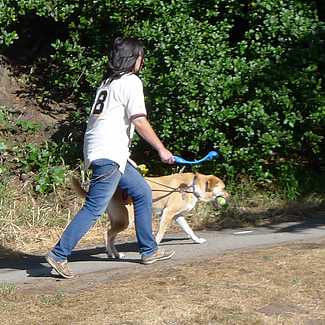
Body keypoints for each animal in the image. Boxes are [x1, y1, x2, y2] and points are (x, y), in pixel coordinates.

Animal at [72, 172, 227, 258]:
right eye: (223, 188)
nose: (229, 195)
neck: (193, 186)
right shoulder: (167, 214)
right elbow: (160, 234)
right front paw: (154, 249)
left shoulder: (178, 217)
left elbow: (189, 231)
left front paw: (197, 240)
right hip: (126, 221)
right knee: (107, 233)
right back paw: (112, 253)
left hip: (120, 220)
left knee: (109, 234)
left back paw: (114, 254)